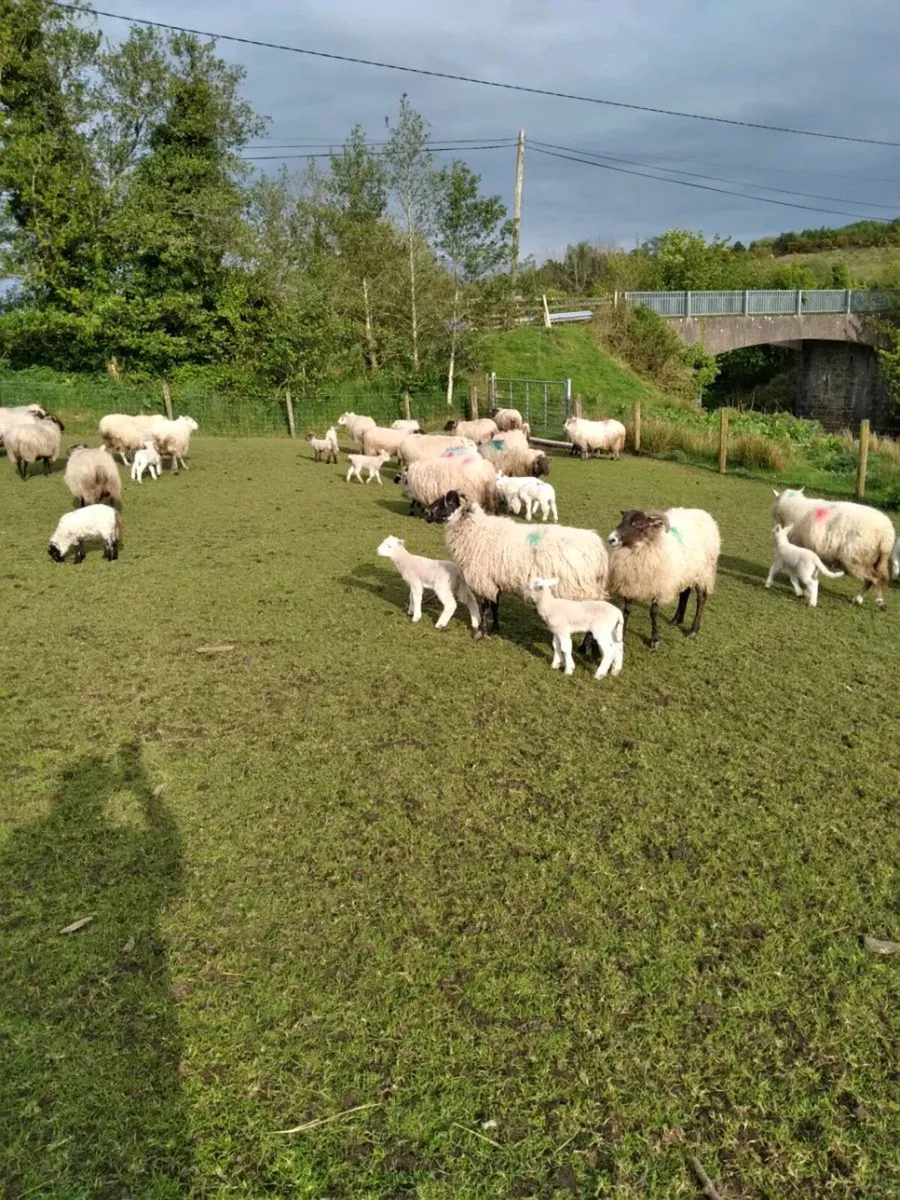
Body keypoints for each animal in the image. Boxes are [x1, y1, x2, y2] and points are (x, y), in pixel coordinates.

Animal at [424, 490, 608, 634]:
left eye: (448, 502)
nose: (426, 513)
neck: (476, 531)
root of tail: (599, 550)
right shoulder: (494, 580)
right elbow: (495, 606)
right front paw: (495, 629)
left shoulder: (484, 579)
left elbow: (485, 607)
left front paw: (482, 632)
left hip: (581, 591)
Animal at [606, 507, 721, 648]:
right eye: (622, 520)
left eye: (638, 524)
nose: (611, 539)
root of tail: (704, 514)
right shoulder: (629, 584)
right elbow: (627, 610)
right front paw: (622, 635)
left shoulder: (659, 587)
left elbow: (653, 612)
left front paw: (655, 640)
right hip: (686, 572)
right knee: (685, 594)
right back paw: (676, 620)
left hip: (703, 574)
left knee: (701, 599)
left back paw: (693, 631)